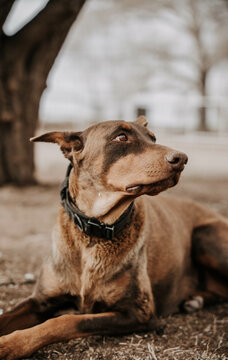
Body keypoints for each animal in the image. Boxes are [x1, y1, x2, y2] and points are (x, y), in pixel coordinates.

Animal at [0, 116, 228, 358]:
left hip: (204, 236)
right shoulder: (41, 300)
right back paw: (195, 300)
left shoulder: (138, 312)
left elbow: (66, 320)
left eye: (153, 138)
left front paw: (10, 345)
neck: (93, 231)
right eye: (121, 137)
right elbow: (9, 315)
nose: (181, 159)